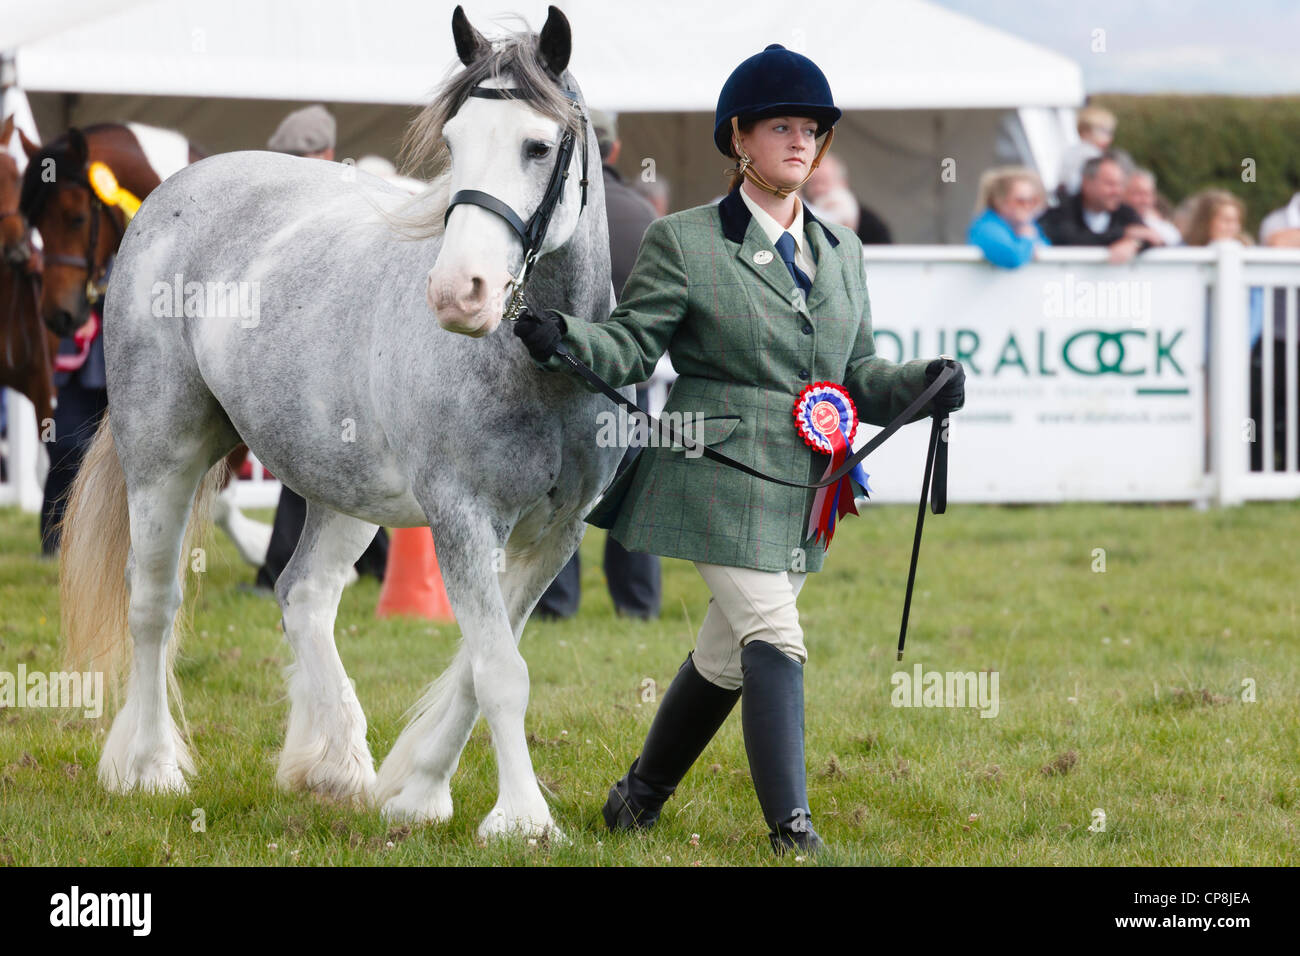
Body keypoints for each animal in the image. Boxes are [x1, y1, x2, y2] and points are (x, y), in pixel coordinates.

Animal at [59, 4, 624, 841]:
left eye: (539, 145)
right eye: (454, 141)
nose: (459, 291)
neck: (541, 363)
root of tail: (176, 189)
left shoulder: (557, 532)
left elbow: (480, 665)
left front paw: (419, 790)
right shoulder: (463, 517)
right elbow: (499, 671)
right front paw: (522, 819)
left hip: (344, 487)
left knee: (304, 593)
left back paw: (333, 765)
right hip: (163, 453)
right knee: (154, 603)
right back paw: (152, 767)